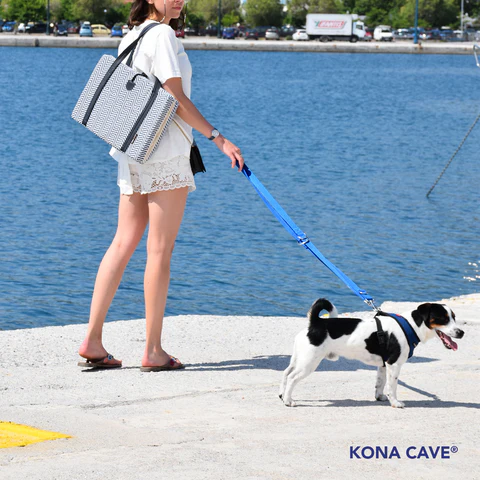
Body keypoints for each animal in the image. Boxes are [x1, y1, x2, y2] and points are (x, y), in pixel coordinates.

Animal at [280, 300, 464, 408]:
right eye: (443, 318)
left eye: (454, 317)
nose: (461, 332)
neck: (410, 326)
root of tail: (315, 323)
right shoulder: (394, 364)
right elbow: (392, 386)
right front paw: (395, 402)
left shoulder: (383, 365)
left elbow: (380, 384)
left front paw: (380, 397)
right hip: (309, 363)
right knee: (292, 378)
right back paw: (289, 401)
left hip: (299, 359)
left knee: (286, 373)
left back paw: (282, 395)